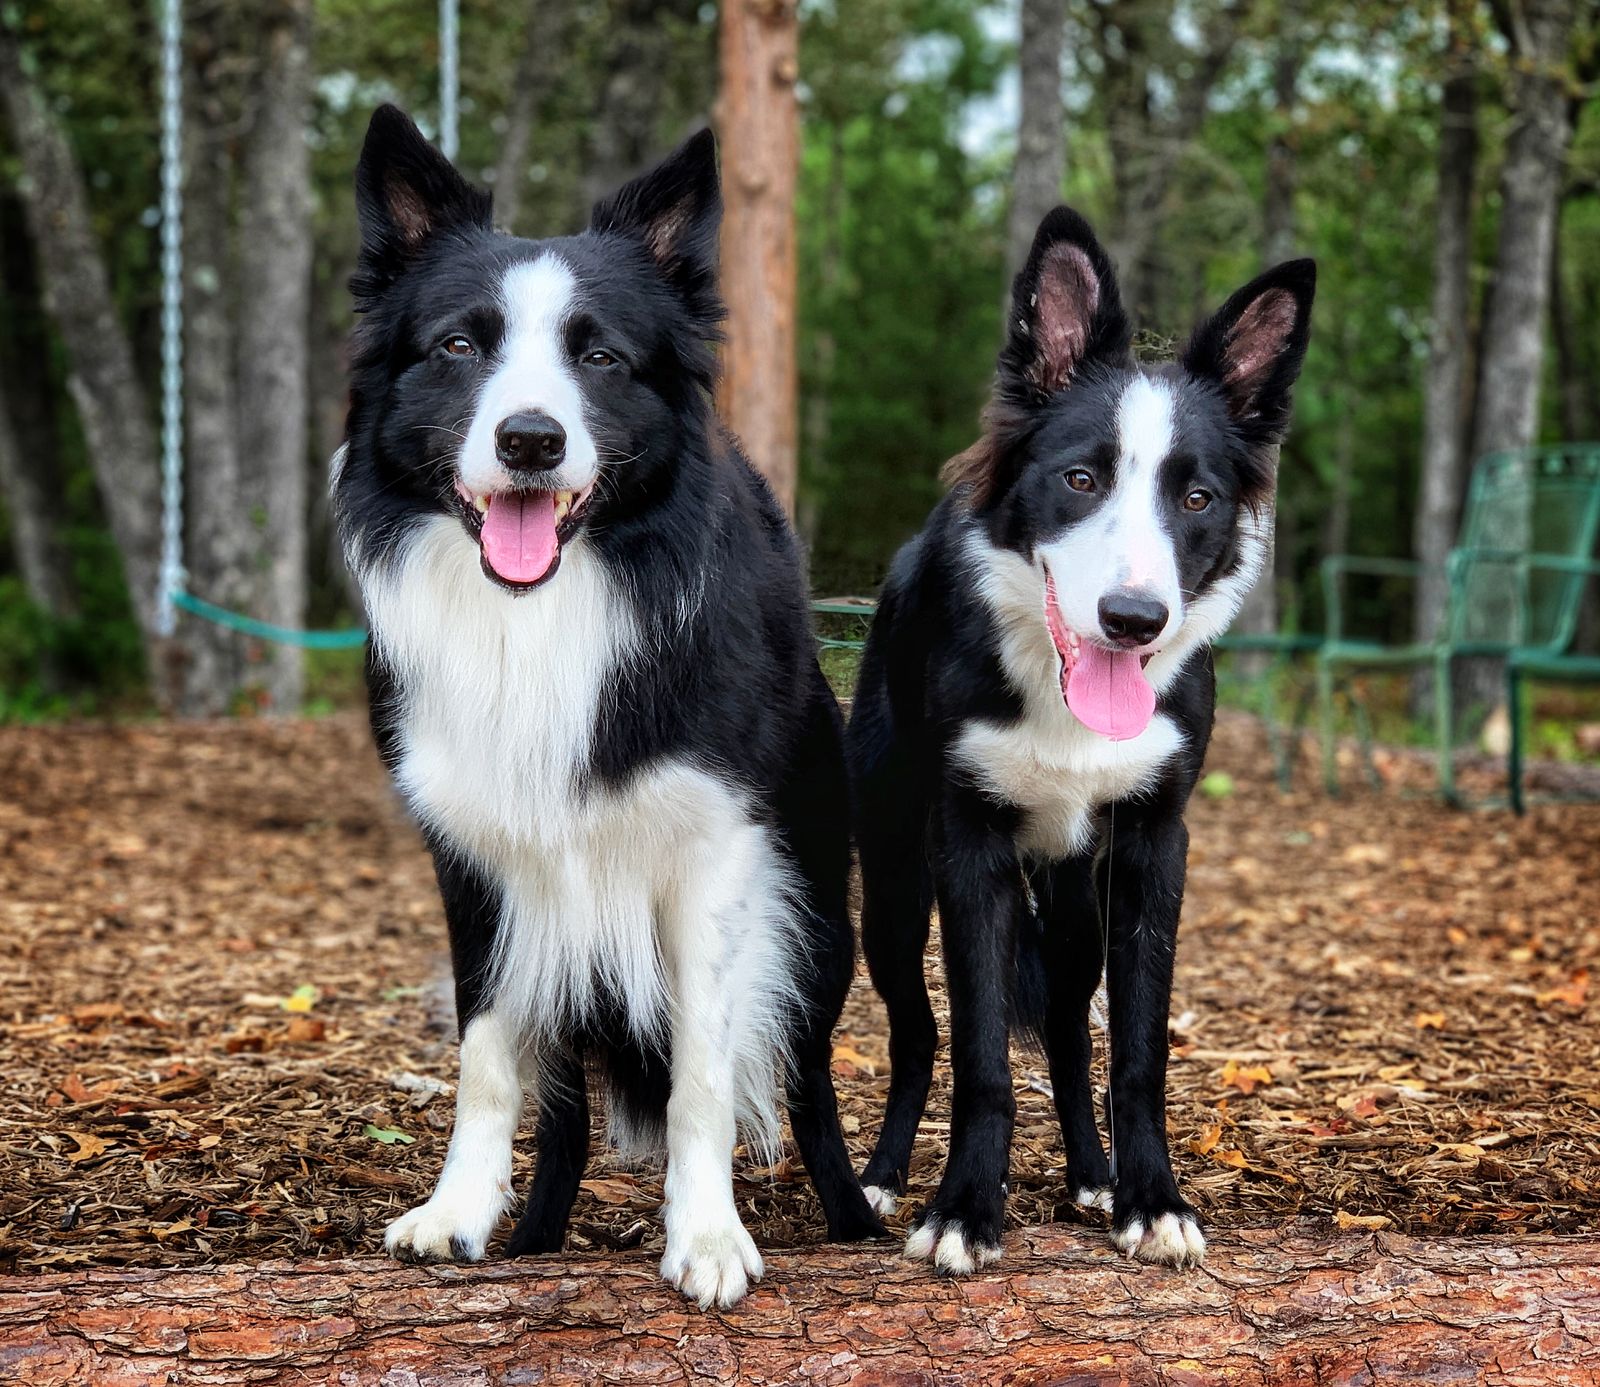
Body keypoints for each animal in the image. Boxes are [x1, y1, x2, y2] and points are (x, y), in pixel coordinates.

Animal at [337, 111, 883, 1311]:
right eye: (459, 347)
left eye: (600, 358)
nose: (531, 440)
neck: (546, 614)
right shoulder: (477, 864)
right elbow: (490, 1057)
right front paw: (461, 1211)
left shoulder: (717, 856)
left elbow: (703, 1075)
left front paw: (709, 1236)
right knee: (566, 1109)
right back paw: (538, 1231)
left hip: (823, 915)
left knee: (808, 1077)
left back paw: (858, 1217)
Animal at [851, 203, 1312, 1267]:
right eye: (1080, 478)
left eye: (1197, 498)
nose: (1134, 620)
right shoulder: (966, 845)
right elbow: (978, 1050)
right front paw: (964, 1209)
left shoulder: (1151, 846)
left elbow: (1136, 1051)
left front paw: (1152, 1198)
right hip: (890, 886)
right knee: (917, 1032)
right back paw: (885, 1178)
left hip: (1073, 898)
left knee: (1066, 1026)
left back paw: (1094, 1176)